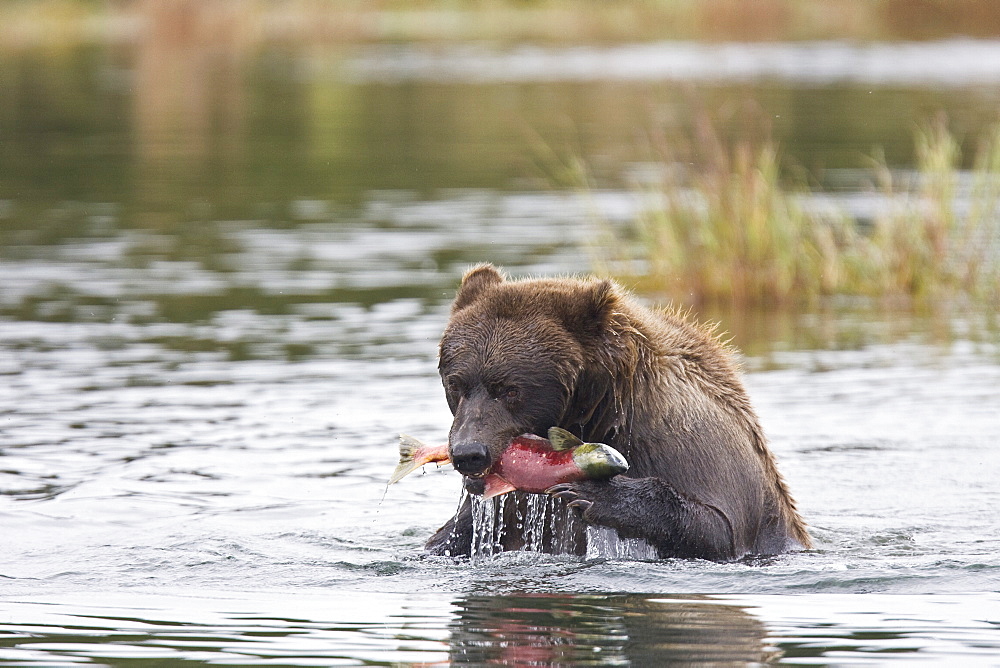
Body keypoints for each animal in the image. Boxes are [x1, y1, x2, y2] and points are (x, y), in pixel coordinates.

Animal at [426, 264, 808, 560]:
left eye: (509, 389)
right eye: (456, 384)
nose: (469, 453)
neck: (598, 410)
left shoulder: (684, 441)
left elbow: (718, 526)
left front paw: (593, 493)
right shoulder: (509, 503)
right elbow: (453, 535)